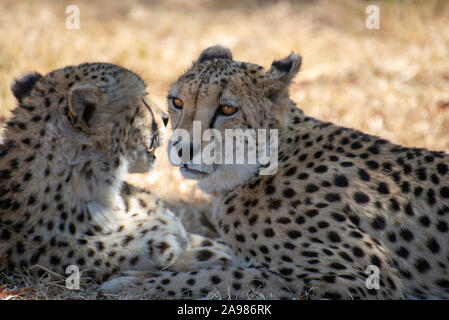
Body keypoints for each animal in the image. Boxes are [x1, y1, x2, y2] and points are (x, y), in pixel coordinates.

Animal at [100, 46, 448, 298]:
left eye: (228, 109)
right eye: (177, 102)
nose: (182, 149)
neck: (262, 165)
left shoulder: (361, 280)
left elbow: (231, 276)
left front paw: (135, 284)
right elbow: (217, 258)